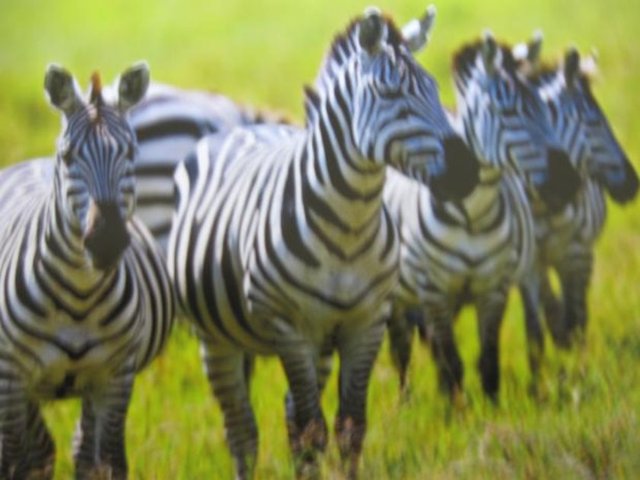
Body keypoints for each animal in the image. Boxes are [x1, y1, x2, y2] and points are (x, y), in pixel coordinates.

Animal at [0, 64, 175, 479]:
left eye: (131, 152)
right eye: (67, 156)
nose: (107, 241)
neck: (80, 293)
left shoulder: (115, 376)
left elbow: (109, 462)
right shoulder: (9, 377)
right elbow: (11, 462)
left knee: (77, 450)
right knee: (37, 453)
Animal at [168, 8, 479, 479]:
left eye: (434, 87)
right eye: (389, 93)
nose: (467, 172)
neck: (350, 225)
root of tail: (249, 127)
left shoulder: (366, 324)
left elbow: (349, 427)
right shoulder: (290, 330)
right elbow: (314, 431)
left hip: (320, 345)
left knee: (290, 419)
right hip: (216, 338)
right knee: (242, 432)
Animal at [385, 31, 581, 400]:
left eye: (543, 108)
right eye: (508, 111)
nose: (568, 181)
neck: (473, 216)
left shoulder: (493, 288)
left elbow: (487, 360)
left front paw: (491, 409)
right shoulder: (434, 292)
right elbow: (452, 364)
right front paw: (457, 414)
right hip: (395, 298)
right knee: (401, 352)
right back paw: (405, 402)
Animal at [513, 35, 638, 350]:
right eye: (595, 122)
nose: (634, 183)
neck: (542, 203)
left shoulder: (580, 254)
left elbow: (578, 319)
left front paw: (579, 359)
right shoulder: (528, 265)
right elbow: (536, 330)